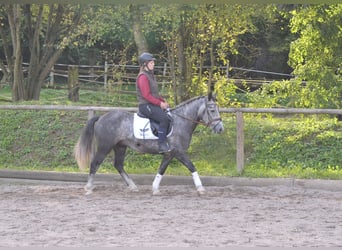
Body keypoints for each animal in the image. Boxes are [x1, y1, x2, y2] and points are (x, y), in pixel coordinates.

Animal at [74, 94, 224, 195]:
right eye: (212, 110)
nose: (220, 129)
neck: (181, 121)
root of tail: (101, 117)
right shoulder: (179, 152)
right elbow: (191, 166)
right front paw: (200, 188)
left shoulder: (169, 154)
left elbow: (161, 169)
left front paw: (155, 188)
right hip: (105, 146)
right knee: (95, 163)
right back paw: (88, 188)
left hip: (120, 146)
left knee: (118, 165)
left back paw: (133, 186)